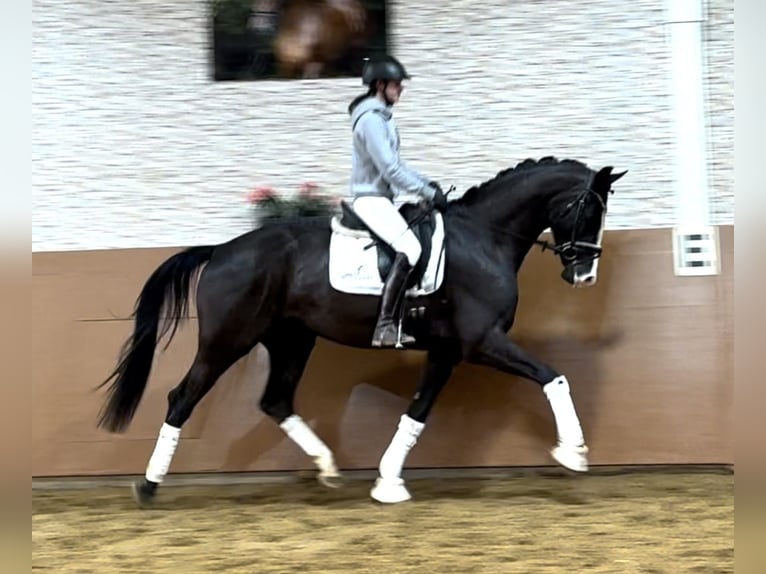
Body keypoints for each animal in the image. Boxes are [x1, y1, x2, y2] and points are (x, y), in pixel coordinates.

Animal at [94, 155, 632, 506]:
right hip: (227, 341)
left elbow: (417, 414)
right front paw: (573, 453)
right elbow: (553, 376)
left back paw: (328, 467)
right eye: (589, 209)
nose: (584, 275)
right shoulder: (482, 342)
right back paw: (148, 485)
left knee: (276, 400)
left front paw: (388, 483)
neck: (485, 238)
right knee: (182, 398)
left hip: (292, 339)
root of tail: (222, 249)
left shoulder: (447, 351)